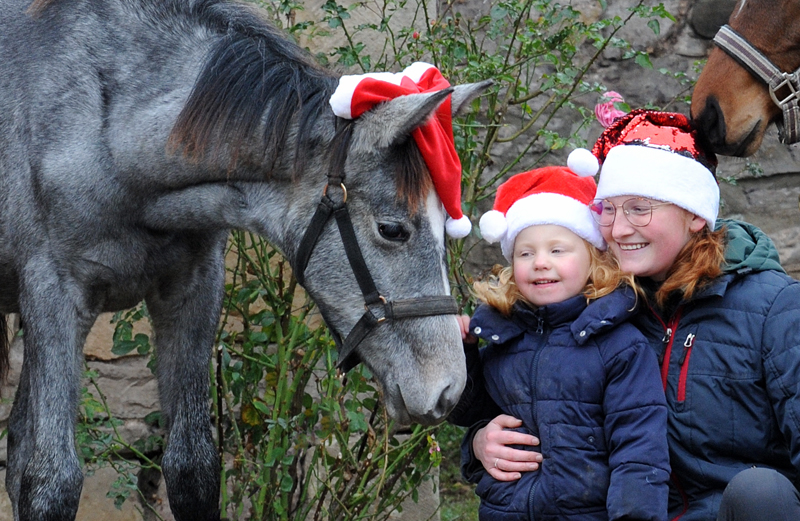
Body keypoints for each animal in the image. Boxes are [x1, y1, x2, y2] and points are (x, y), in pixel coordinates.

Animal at [0, 0, 488, 516]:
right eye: (393, 229)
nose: (449, 389)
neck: (104, 133)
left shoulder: (192, 289)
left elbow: (192, 467)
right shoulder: (56, 299)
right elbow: (51, 482)